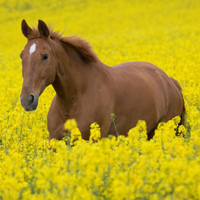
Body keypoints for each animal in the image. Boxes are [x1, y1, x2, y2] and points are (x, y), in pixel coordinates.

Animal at [19, 19, 185, 141]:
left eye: (45, 56)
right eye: (22, 56)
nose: (27, 100)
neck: (73, 100)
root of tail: (170, 81)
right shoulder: (54, 141)